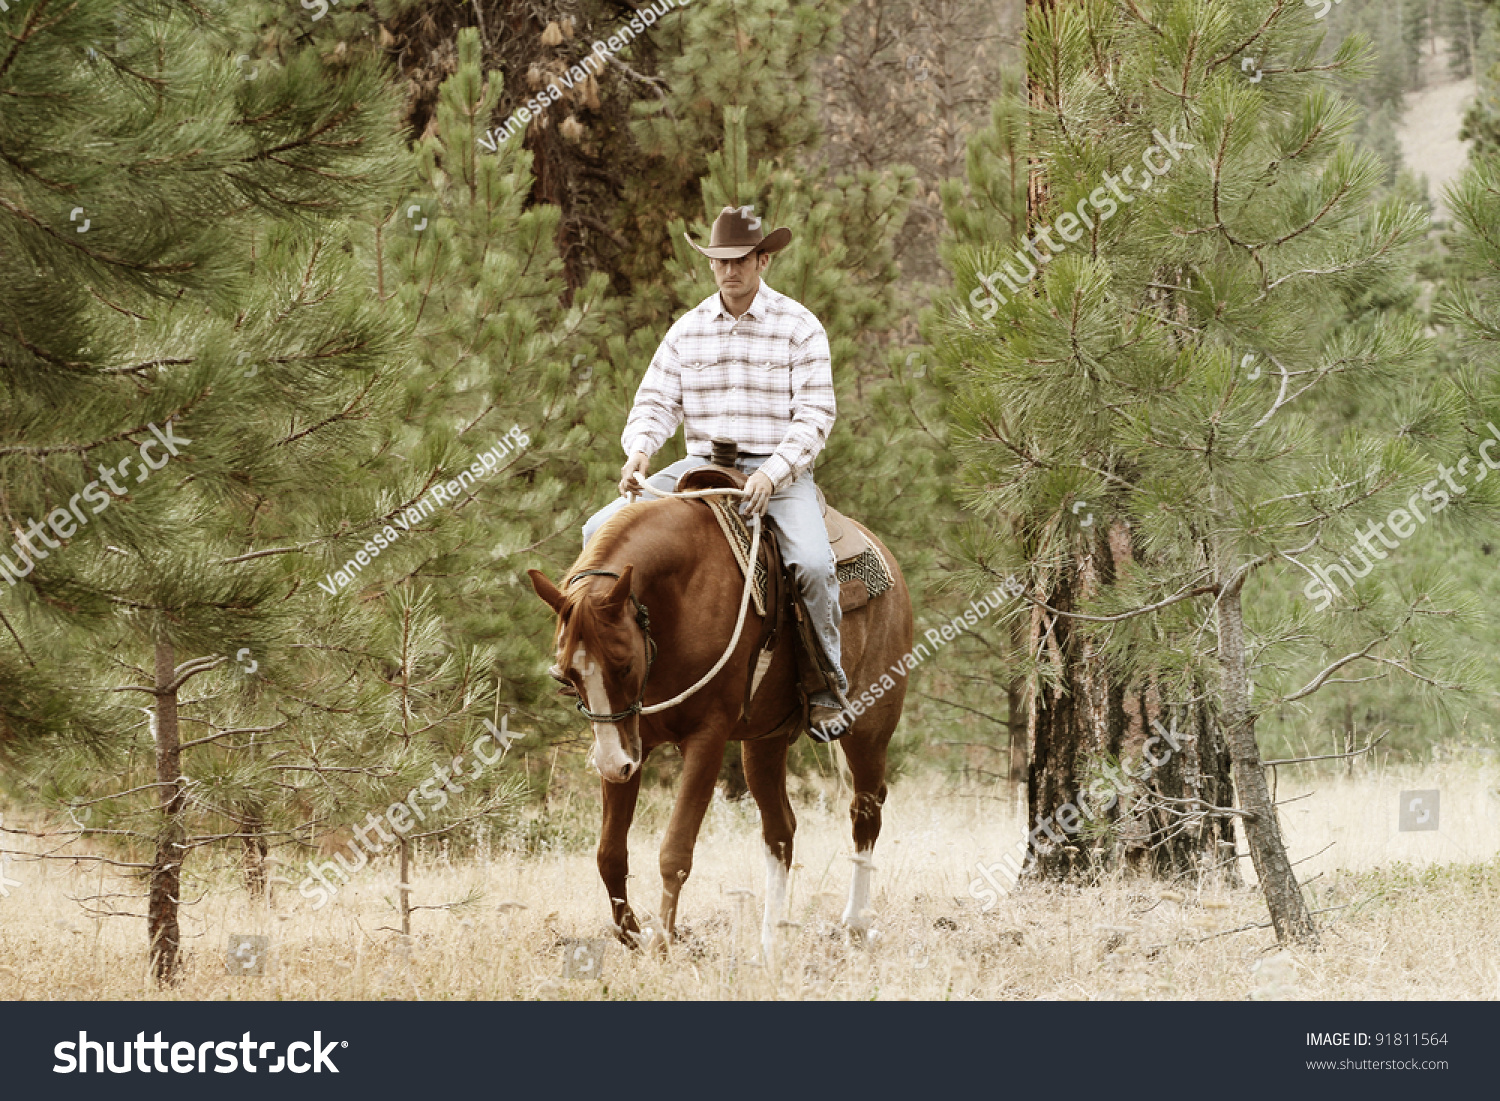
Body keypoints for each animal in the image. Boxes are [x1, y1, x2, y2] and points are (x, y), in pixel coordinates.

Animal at [534, 489, 918, 960]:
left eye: (623, 665)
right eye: (566, 675)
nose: (608, 764)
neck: (678, 600)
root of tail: (887, 560)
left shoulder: (707, 739)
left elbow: (675, 852)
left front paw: (663, 946)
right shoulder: (630, 742)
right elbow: (610, 853)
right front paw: (633, 936)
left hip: (868, 727)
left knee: (865, 814)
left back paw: (856, 925)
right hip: (764, 743)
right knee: (781, 831)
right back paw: (771, 944)